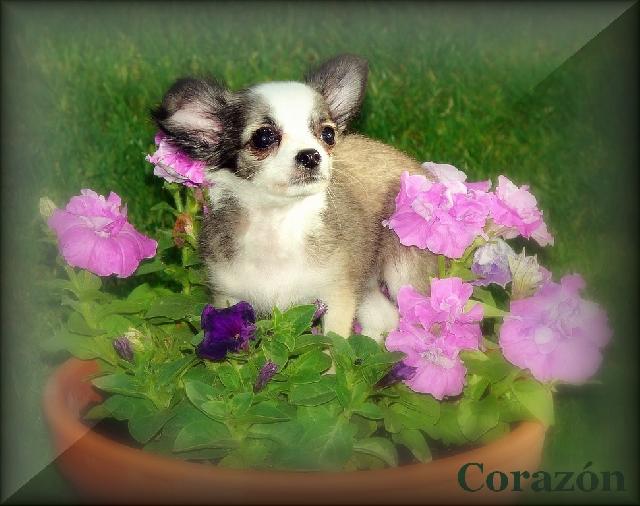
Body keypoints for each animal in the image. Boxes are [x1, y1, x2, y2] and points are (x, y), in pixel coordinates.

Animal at [152, 54, 436, 342]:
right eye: (264, 137)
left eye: (328, 134)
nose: (311, 155)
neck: (278, 220)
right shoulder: (228, 295)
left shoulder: (337, 295)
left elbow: (333, 345)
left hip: (403, 273)